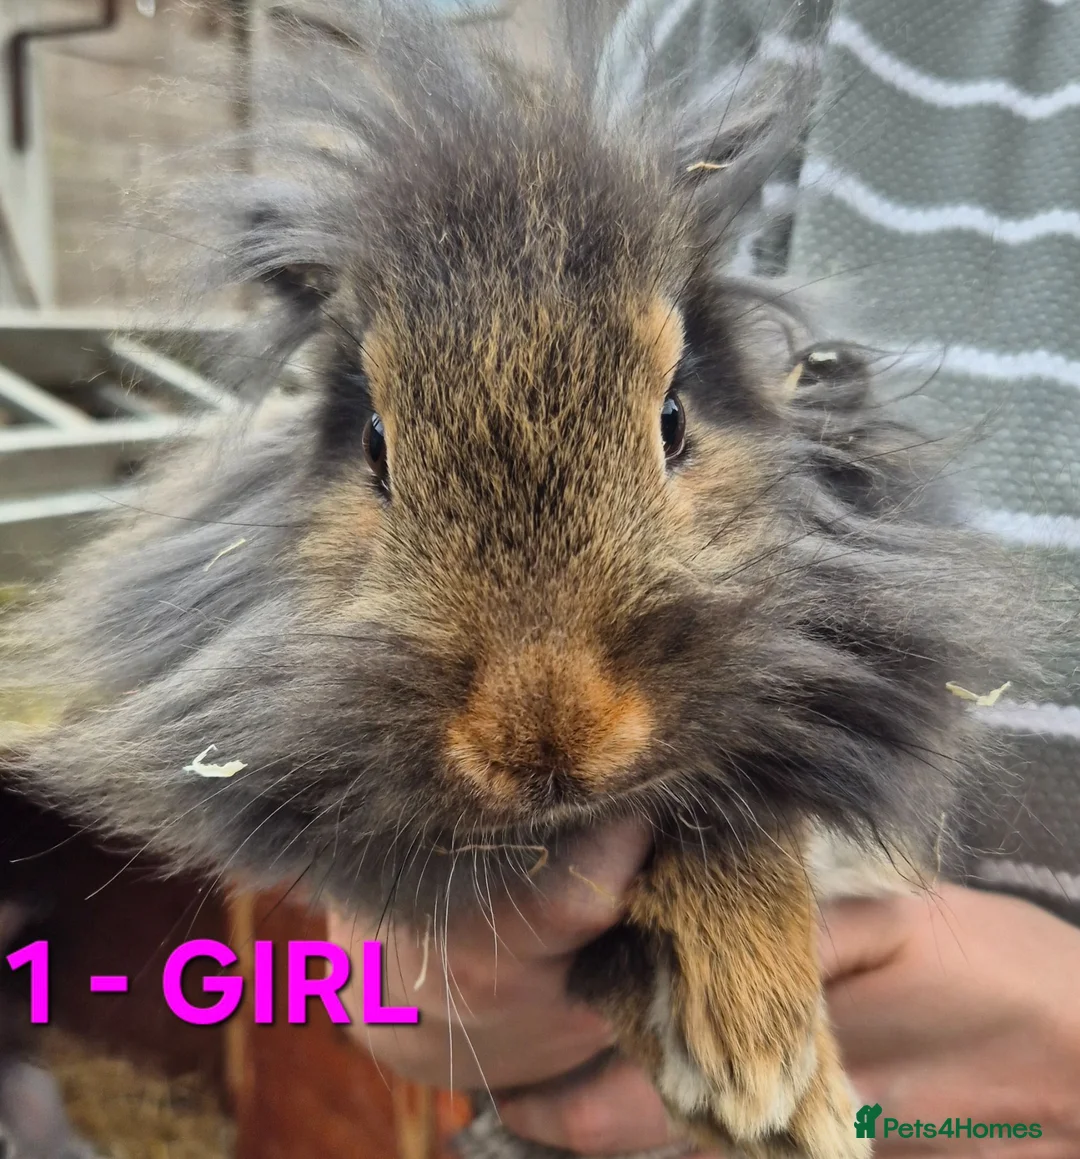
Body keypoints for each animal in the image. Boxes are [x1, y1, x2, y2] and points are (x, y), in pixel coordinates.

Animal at [0, 3, 1055, 1156]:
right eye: (374, 445)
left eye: (674, 418)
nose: (548, 740)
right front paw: (765, 1093)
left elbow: (742, 819)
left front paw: (769, 1061)